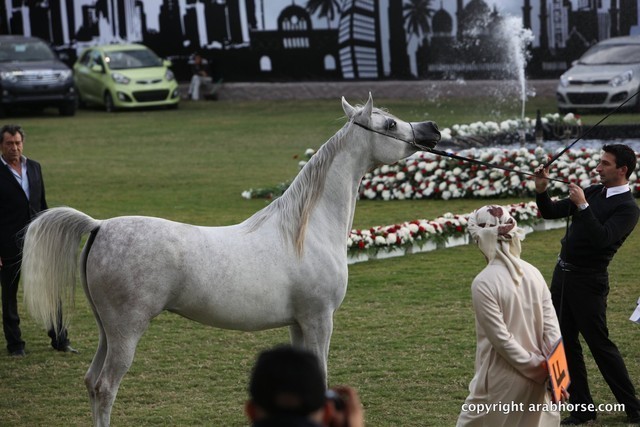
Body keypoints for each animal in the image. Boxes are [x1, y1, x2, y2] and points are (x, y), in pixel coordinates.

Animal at [21, 93, 440, 426]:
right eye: (389, 123)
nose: (432, 128)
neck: (307, 229)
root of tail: (100, 226)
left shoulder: (299, 323)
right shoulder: (320, 320)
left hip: (107, 332)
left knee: (92, 383)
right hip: (126, 332)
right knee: (106, 387)